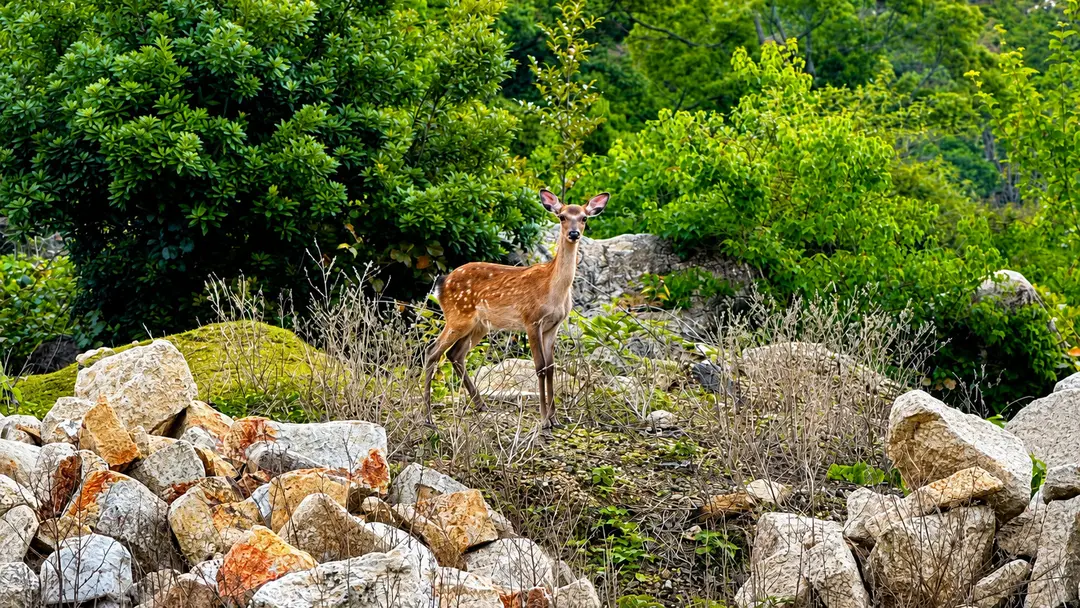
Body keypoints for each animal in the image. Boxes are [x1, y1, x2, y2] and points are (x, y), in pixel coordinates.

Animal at [422, 189, 610, 429]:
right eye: (562, 217)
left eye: (584, 218)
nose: (574, 233)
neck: (553, 290)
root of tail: (442, 282)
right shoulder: (531, 320)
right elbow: (540, 366)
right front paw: (544, 420)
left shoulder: (553, 326)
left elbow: (551, 367)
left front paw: (555, 418)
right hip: (457, 316)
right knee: (432, 351)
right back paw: (428, 417)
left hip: (480, 325)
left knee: (455, 354)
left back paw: (480, 405)